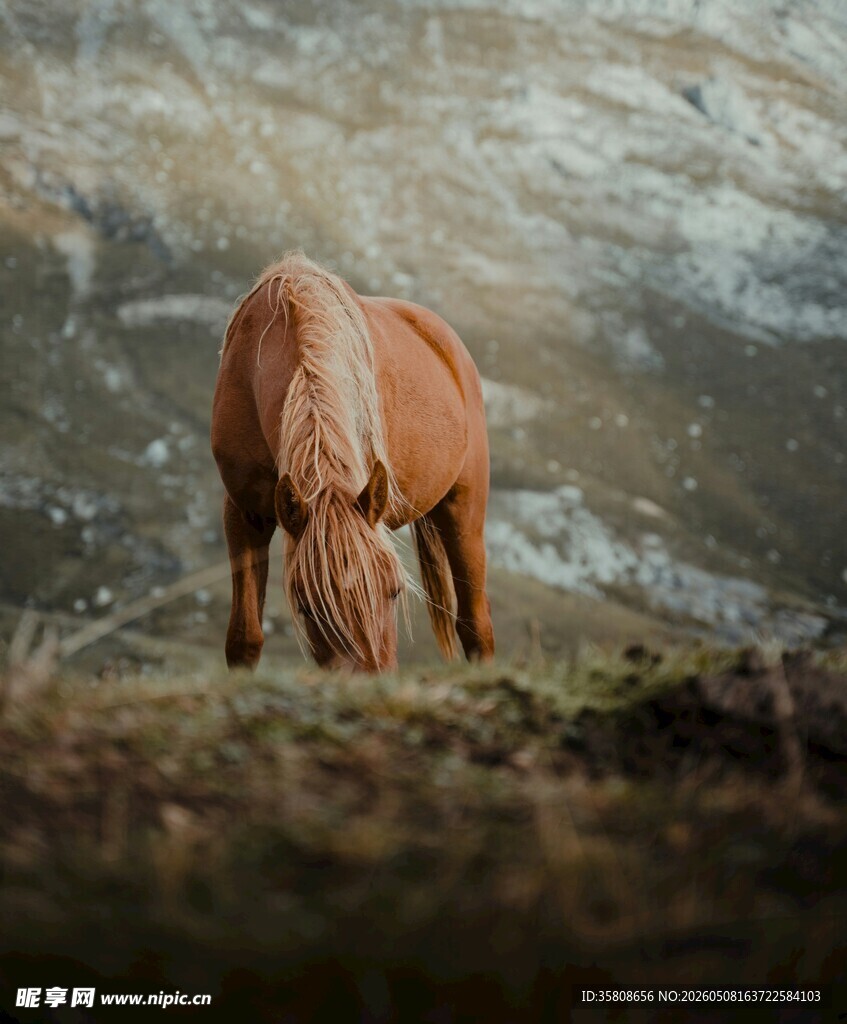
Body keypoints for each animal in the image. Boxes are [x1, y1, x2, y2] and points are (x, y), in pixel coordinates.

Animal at [211, 251, 494, 673]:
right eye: (308, 607)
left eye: (394, 591)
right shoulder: (244, 513)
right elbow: (244, 638)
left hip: (464, 513)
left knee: (476, 625)